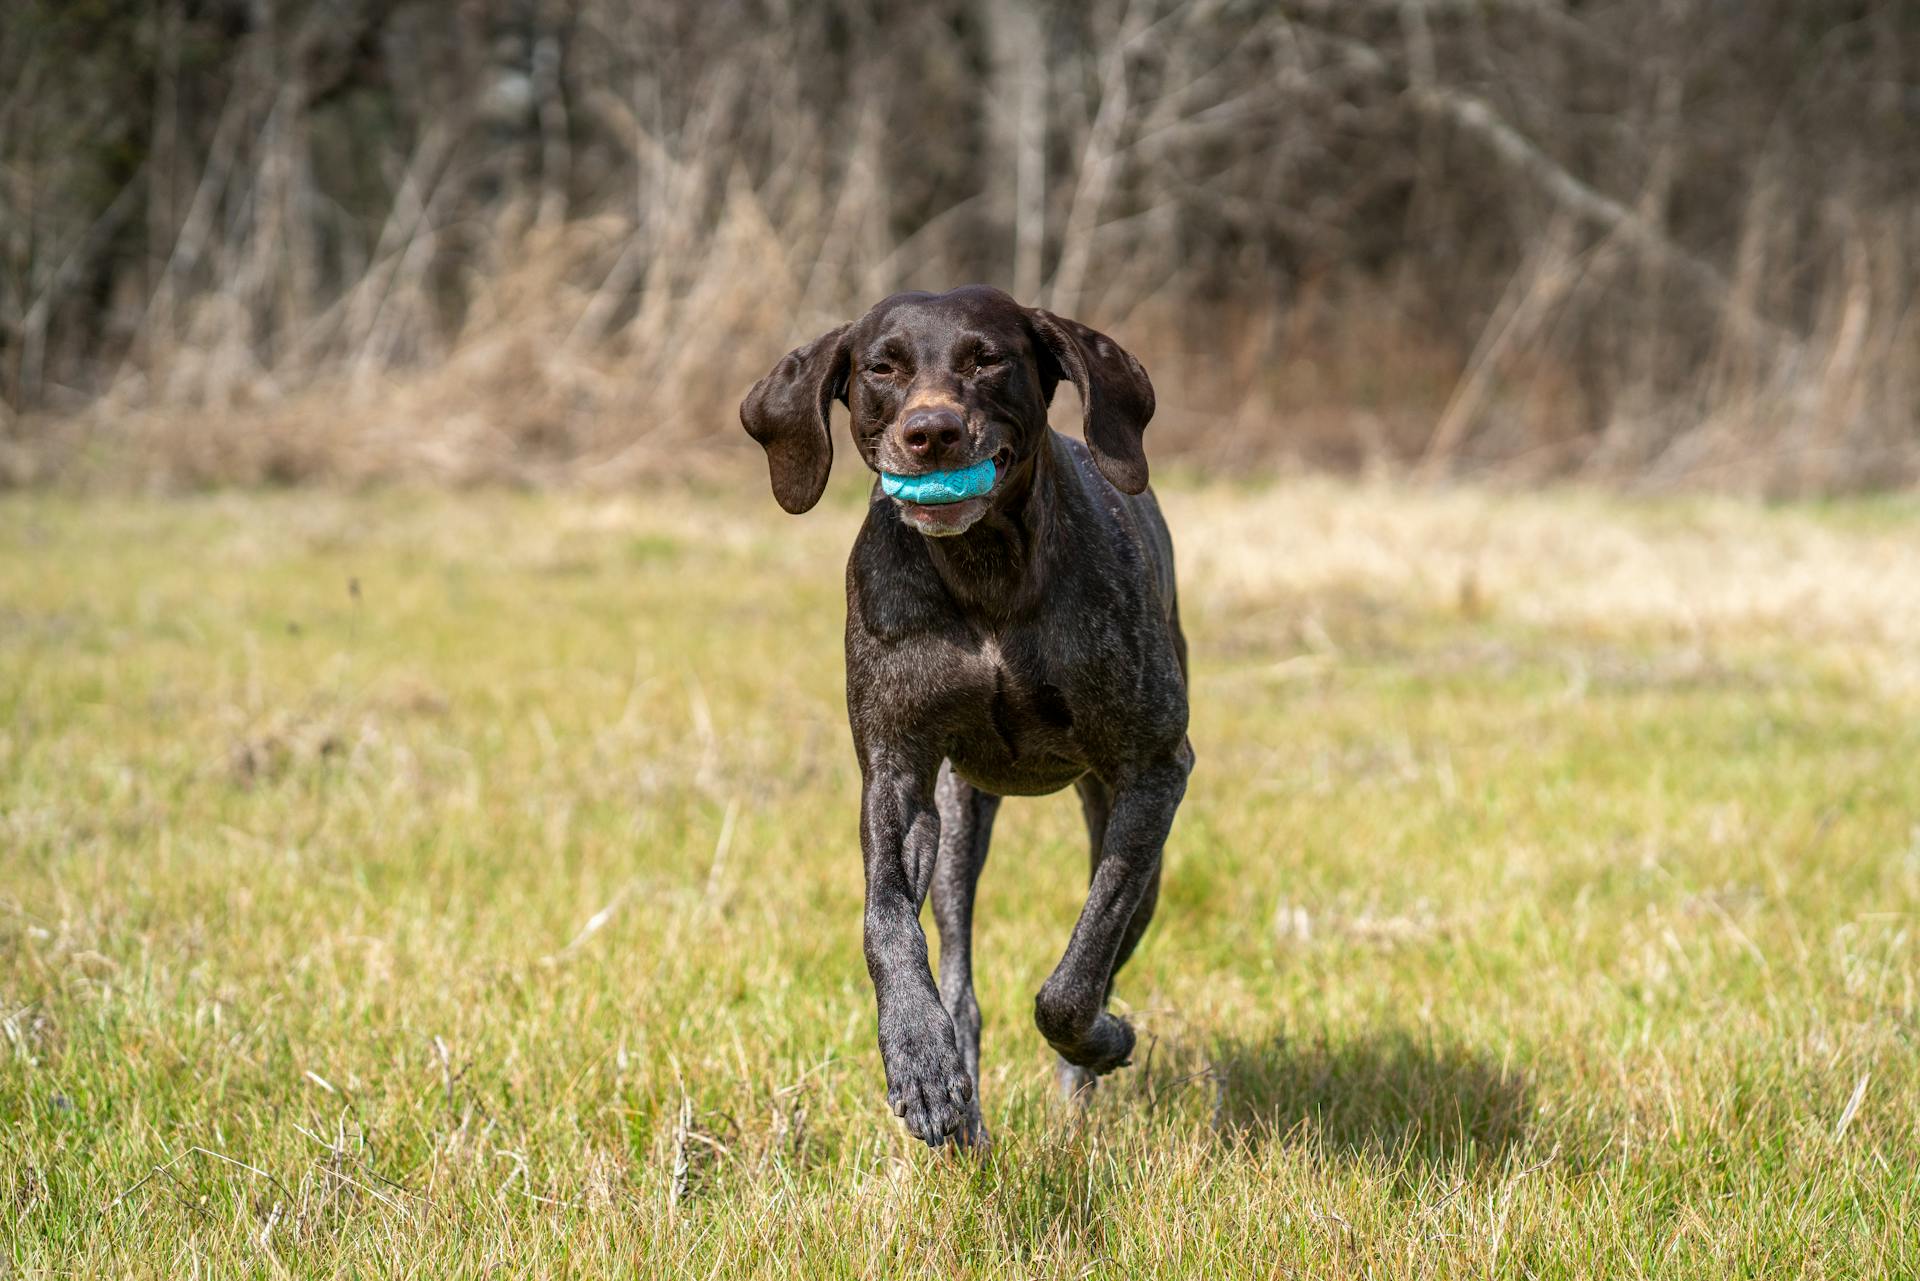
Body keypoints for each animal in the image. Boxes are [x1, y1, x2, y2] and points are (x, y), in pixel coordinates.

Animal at [741, 286, 1190, 1144]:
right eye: (882, 366)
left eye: (987, 359)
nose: (932, 432)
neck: (985, 575)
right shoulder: (898, 775)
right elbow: (887, 921)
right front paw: (919, 1061)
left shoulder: (1154, 771)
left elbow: (1076, 976)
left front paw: (1102, 1038)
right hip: (958, 825)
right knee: (959, 976)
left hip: (1133, 840)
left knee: (1108, 942)